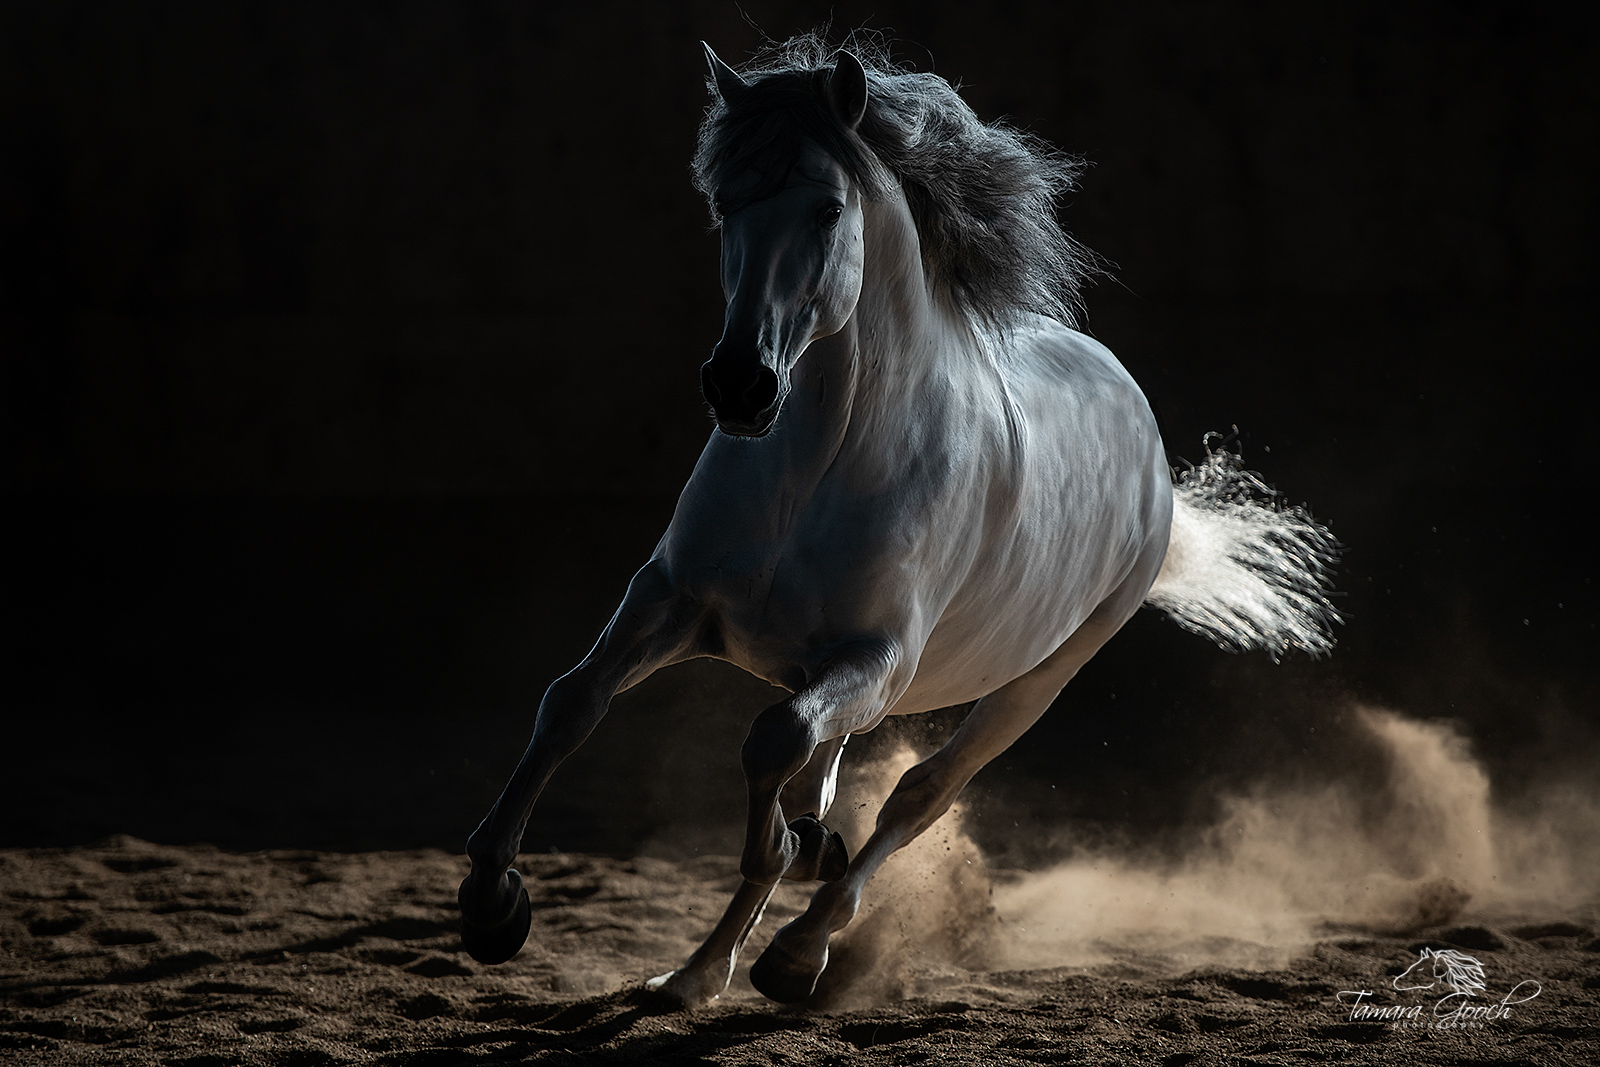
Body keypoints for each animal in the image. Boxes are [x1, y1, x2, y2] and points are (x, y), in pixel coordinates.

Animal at [456, 36, 1339, 1008]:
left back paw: (796, 951)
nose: (740, 386)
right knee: (821, 780)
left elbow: (774, 745)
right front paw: (492, 903)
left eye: (827, 207)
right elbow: (573, 701)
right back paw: (695, 971)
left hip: (1034, 682)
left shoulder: (877, 659)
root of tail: (1142, 434)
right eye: (724, 204)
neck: (816, 468)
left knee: (915, 796)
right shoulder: (675, 600)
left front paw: (787, 857)